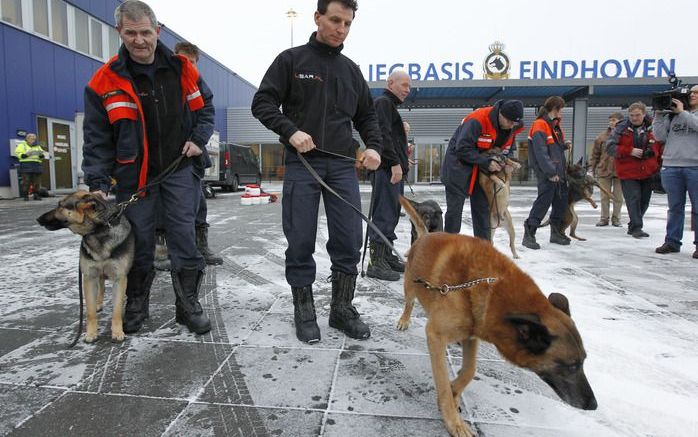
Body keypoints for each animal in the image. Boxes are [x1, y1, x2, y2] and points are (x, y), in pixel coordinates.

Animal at [37, 190, 136, 340]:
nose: (38, 219)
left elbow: (117, 310)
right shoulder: (89, 277)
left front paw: (118, 332)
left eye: (60, 205)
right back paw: (98, 303)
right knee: (101, 289)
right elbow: (90, 311)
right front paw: (91, 333)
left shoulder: (120, 278)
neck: (98, 230)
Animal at [394, 197, 596, 436]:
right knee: (409, 302)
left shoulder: (472, 333)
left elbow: (470, 370)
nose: (593, 405)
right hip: (410, 287)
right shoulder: (436, 336)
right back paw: (404, 319)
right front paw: (452, 420)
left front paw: (455, 391)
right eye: (572, 366)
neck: (491, 288)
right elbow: (442, 382)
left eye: (583, 361)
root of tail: (426, 235)